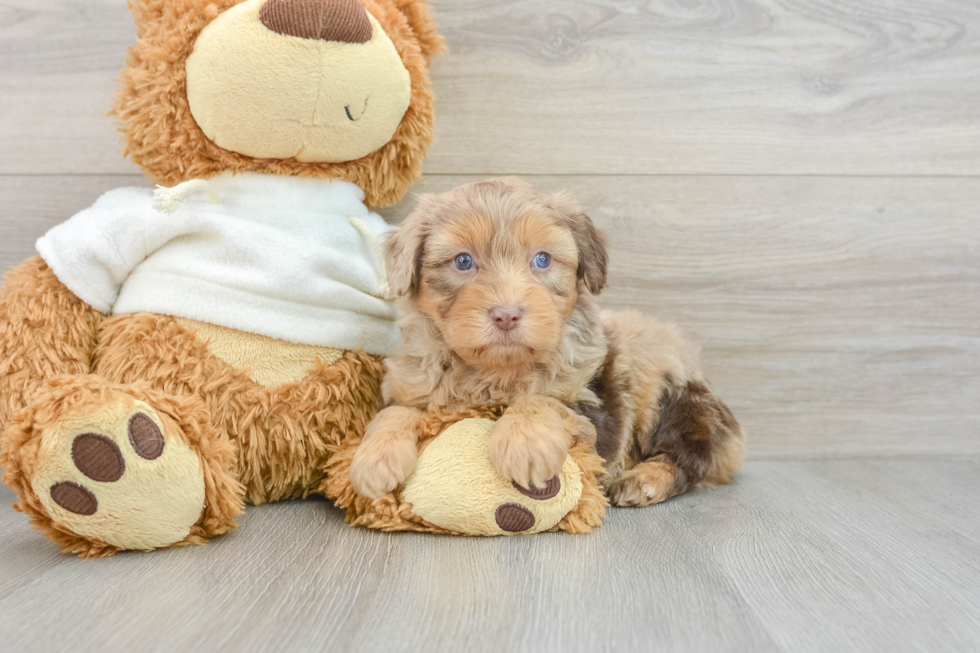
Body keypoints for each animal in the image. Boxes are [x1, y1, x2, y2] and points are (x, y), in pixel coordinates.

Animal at [352, 177, 744, 504]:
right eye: (463, 261)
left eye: (542, 259)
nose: (507, 315)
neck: (493, 372)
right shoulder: (411, 385)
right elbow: (394, 411)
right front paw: (374, 459)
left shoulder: (594, 415)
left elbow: (543, 400)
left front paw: (524, 444)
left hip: (659, 377)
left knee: (693, 455)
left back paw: (645, 480)